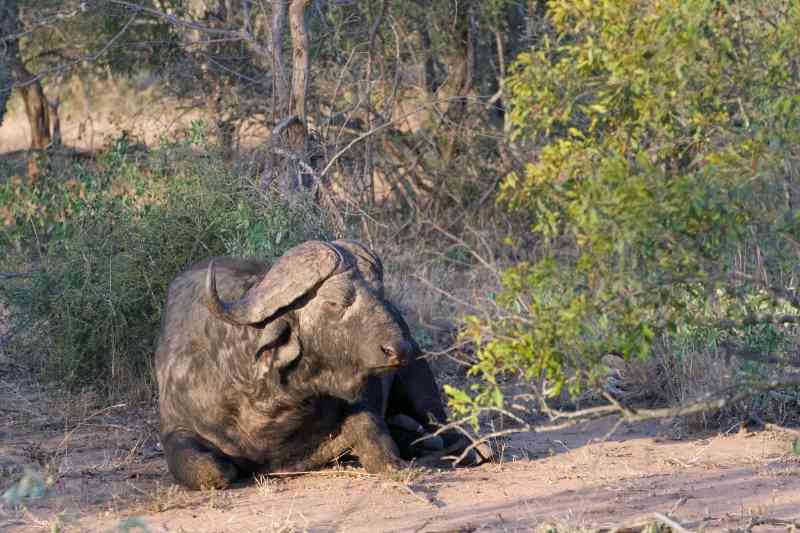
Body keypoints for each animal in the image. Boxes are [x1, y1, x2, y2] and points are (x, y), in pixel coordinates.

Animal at [157, 239, 482, 488]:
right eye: (336, 302)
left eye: (380, 294)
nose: (399, 349)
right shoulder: (176, 430)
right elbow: (212, 471)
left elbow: (380, 448)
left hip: (419, 383)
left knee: (442, 423)